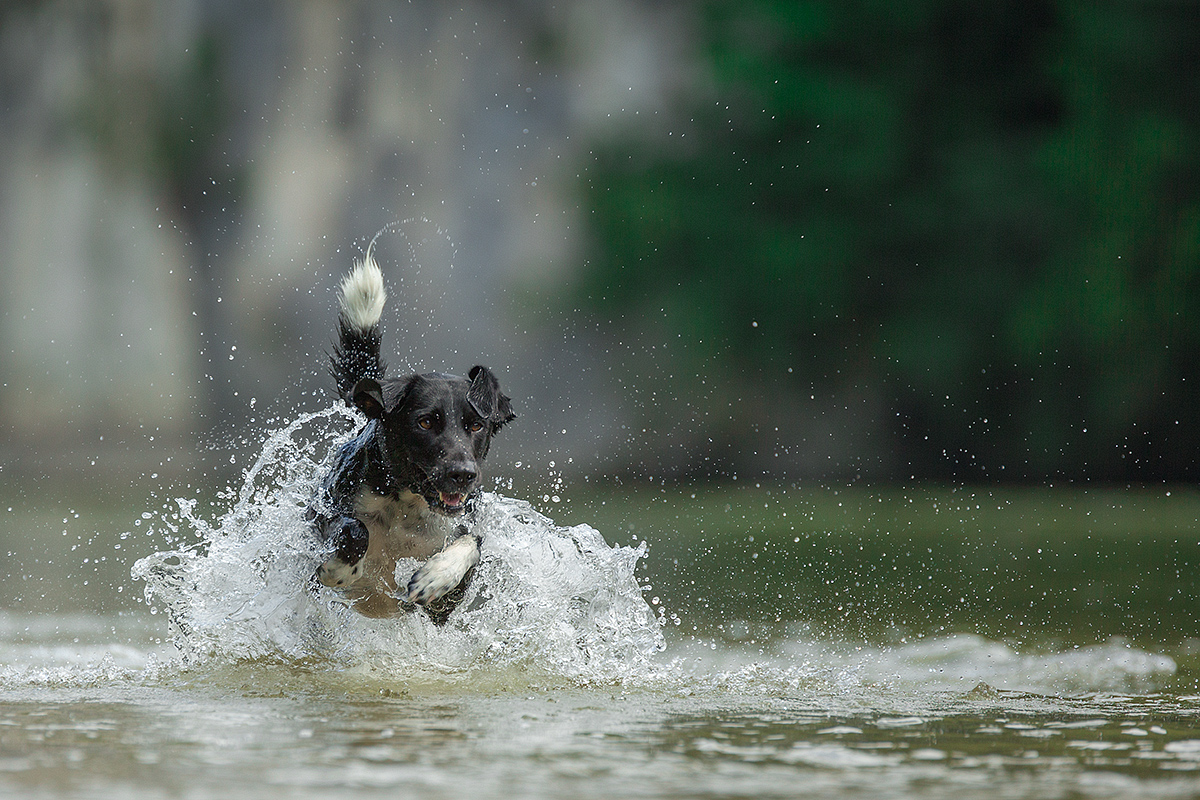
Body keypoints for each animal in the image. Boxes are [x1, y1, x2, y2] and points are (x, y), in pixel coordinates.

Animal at [312, 247, 513, 623]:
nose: (463, 475)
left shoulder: (444, 602)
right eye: (425, 423)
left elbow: (473, 543)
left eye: (476, 426)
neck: (407, 505)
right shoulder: (323, 514)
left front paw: (437, 575)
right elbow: (355, 529)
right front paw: (339, 570)